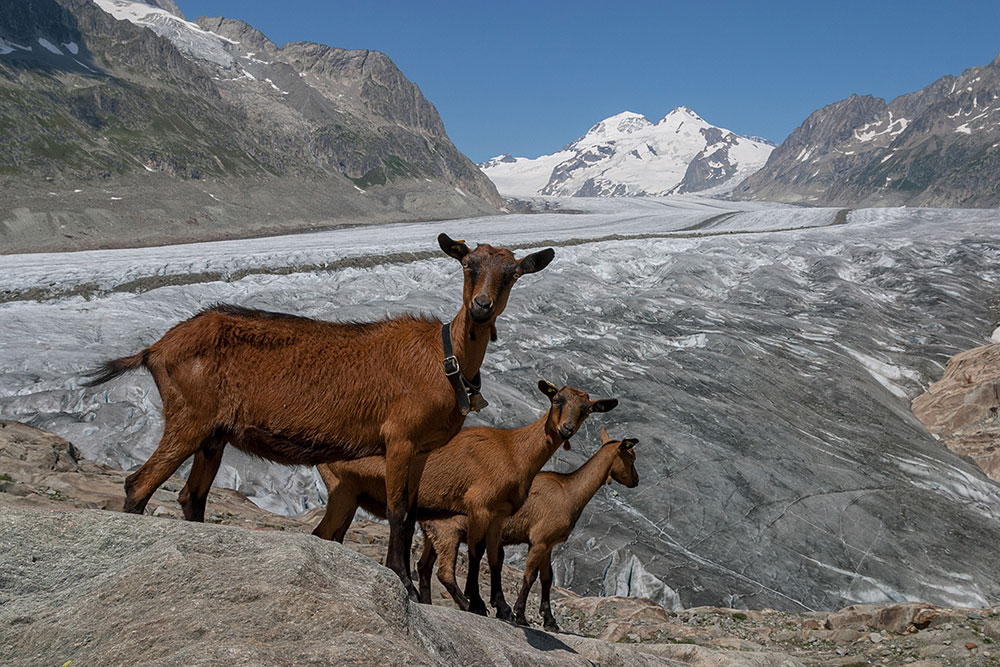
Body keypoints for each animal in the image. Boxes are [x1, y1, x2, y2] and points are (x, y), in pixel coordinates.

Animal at [83, 235, 556, 600]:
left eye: (512, 273)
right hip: (189, 419)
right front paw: (401, 581)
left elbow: (409, 512)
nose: (481, 307)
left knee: (191, 497)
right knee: (139, 484)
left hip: (214, 435)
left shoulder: (420, 449)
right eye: (467, 263)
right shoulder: (399, 438)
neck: (442, 359)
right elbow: (399, 511)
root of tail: (157, 348)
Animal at [312, 384, 612, 620]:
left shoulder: (499, 513)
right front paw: (478, 603)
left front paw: (502, 608)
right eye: (557, 399)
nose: (566, 429)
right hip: (343, 492)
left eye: (586, 409)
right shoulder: (478, 505)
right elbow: (477, 551)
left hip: (354, 500)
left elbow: (496, 557)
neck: (513, 450)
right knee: (323, 532)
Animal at [416, 428, 636, 632]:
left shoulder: (549, 545)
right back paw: (469, 605)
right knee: (444, 572)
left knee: (424, 566)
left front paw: (550, 621)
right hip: (448, 533)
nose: (636, 480)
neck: (569, 492)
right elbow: (530, 576)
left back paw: (427, 601)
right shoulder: (539, 540)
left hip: (433, 535)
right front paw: (521, 615)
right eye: (631, 456)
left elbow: (547, 579)